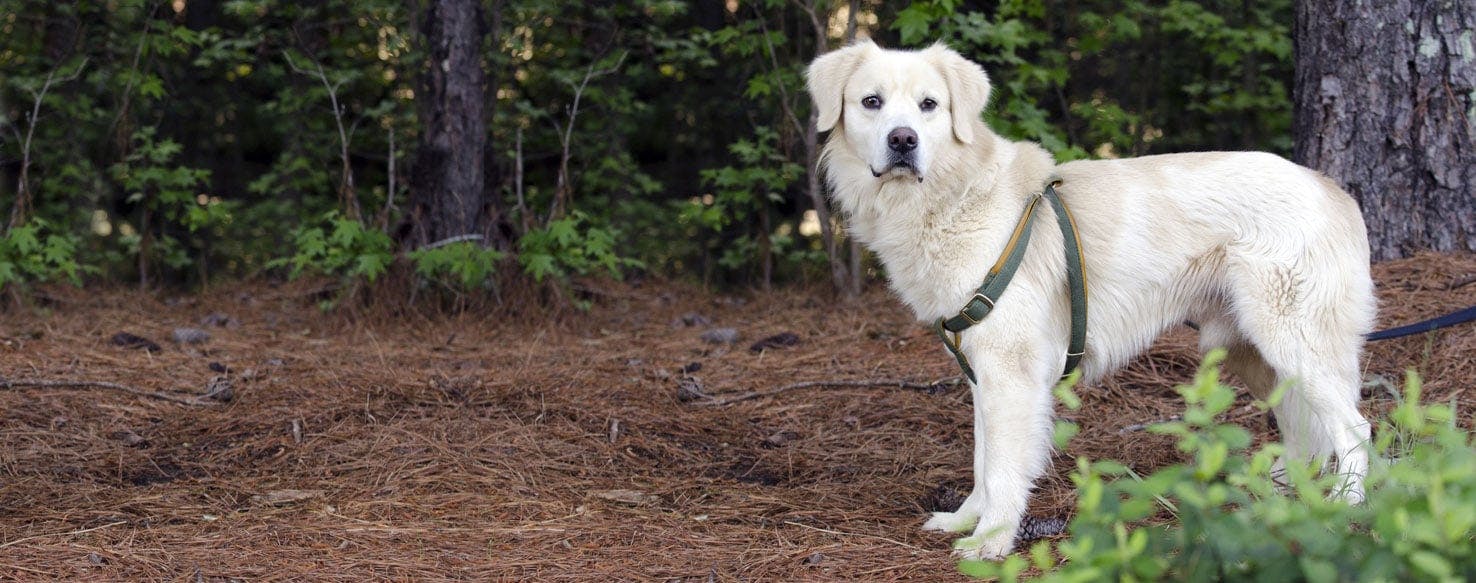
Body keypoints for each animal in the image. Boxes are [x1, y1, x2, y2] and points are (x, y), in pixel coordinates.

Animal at [808, 41, 1369, 560]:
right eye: (872, 102)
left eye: (929, 105)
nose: (903, 140)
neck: (953, 198)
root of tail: (1329, 186)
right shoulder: (983, 376)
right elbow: (983, 462)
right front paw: (964, 521)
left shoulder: (1012, 378)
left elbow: (1004, 469)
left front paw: (991, 541)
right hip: (1252, 351)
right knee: (1302, 430)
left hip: (1293, 342)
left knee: (1354, 429)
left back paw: (1346, 510)